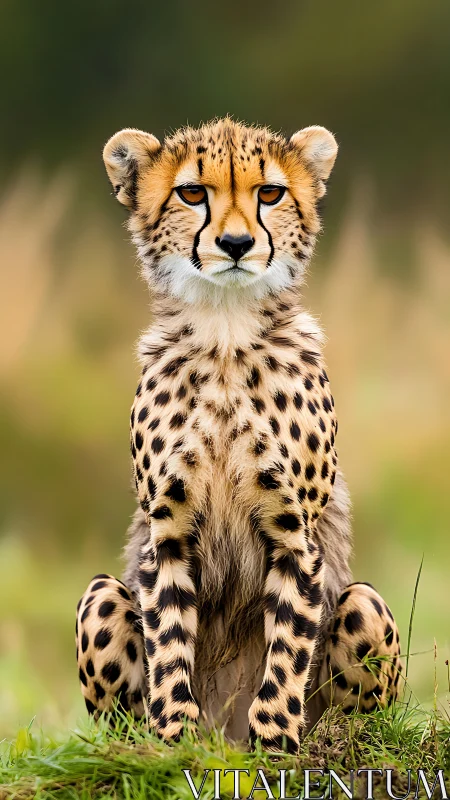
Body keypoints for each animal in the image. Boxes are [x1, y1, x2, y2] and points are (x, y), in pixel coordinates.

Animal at [76, 118, 402, 753]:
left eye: (270, 193)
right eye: (191, 193)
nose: (234, 244)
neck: (226, 331)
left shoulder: (297, 539)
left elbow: (287, 651)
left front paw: (273, 748)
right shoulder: (167, 536)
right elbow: (168, 644)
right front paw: (173, 744)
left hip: (364, 606)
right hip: (101, 596)